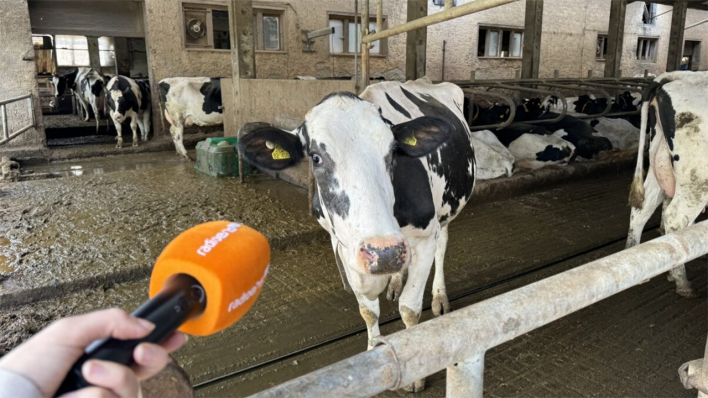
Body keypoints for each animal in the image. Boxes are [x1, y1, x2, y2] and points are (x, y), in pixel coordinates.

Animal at [624, 70, 708, 298]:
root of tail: (678, 76)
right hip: (698, 179)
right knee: (676, 220)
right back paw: (681, 281)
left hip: (658, 162)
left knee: (641, 210)